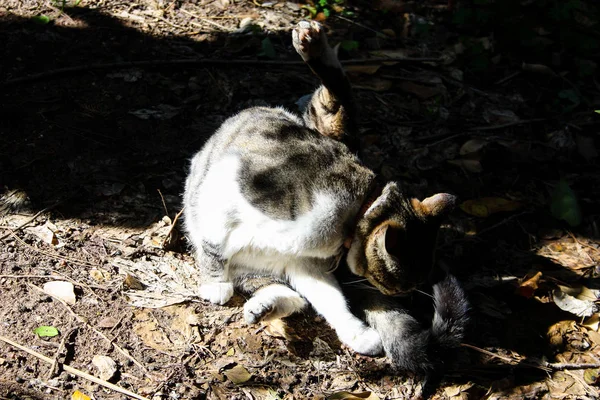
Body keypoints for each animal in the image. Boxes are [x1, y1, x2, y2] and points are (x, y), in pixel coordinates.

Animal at [183, 20, 468, 360]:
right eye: (399, 286)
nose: (406, 297)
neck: (351, 218)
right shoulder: (230, 182)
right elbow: (214, 244)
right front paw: (214, 284)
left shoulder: (303, 262)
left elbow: (331, 300)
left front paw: (357, 333)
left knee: (292, 296)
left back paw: (270, 309)